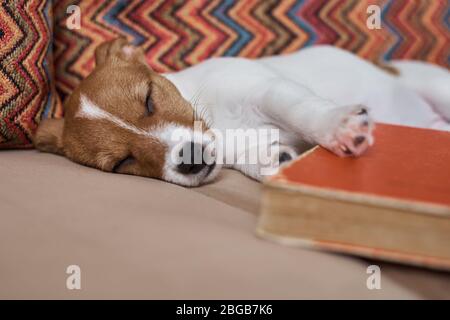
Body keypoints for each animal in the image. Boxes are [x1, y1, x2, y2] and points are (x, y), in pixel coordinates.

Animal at [35, 37, 450, 188]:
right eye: (122, 162)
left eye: (149, 99)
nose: (190, 159)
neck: (219, 125)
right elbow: (261, 158)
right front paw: (277, 162)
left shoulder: (269, 90)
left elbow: (301, 111)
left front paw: (338, 128)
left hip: (439, 89)